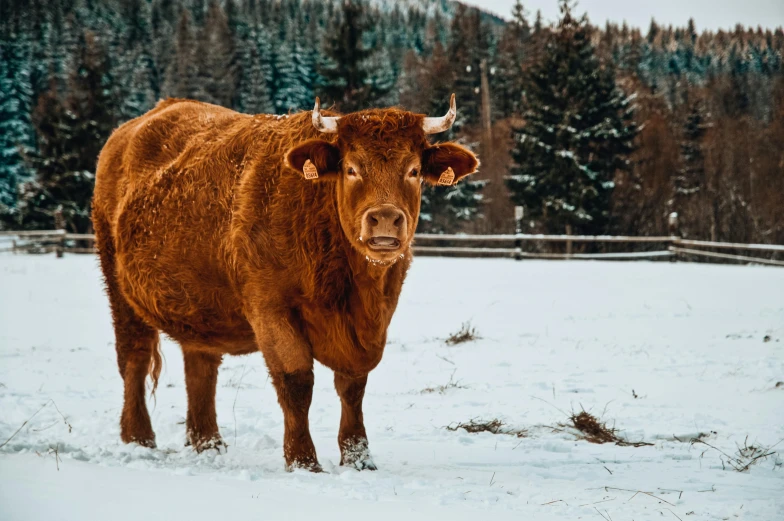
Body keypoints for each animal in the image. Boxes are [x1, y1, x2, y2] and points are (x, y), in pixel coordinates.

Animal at [95, 94, 480, 472]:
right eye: (351, 168)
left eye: (413, 170)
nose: (385, 218)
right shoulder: (272, 309)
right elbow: (297, 382)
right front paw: (303, 460)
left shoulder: (372, 323)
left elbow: (353, 386)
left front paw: (358, 457)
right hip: (118, 288)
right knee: (134, 359)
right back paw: (139, 438)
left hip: (198, 305)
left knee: (201, 368)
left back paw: (208, 443)